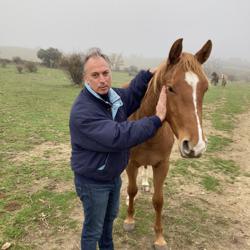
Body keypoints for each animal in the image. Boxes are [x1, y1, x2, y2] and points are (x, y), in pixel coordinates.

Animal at [122, 38, 211, 249]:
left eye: (205, 88)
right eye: (170, 88)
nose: (196, 146)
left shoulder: (162, 165)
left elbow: (158, 200)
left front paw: (159, 238)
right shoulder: (130, 163)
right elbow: (131, 189)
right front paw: (129, 220)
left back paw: (146, 183)